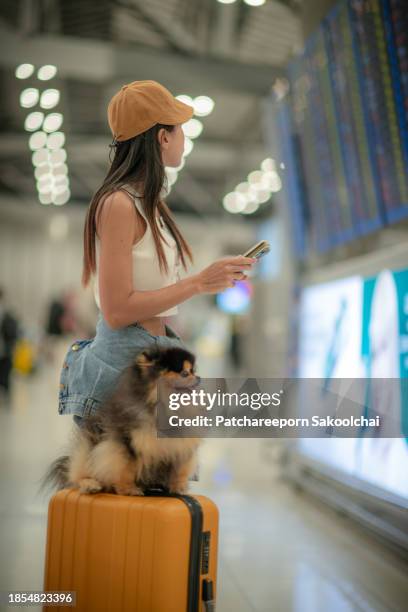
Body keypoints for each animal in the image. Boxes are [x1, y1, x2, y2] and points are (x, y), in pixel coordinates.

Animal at [41, 346, 201, 494]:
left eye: (194, 371)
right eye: (185, 373)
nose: (199, 378)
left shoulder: (180, 446)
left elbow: (179, 470)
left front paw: (179, 488)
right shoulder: (126, 442)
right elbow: (126, 468)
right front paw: (129, 489)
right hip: (87, 448)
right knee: (76, 475)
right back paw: (90, 484)